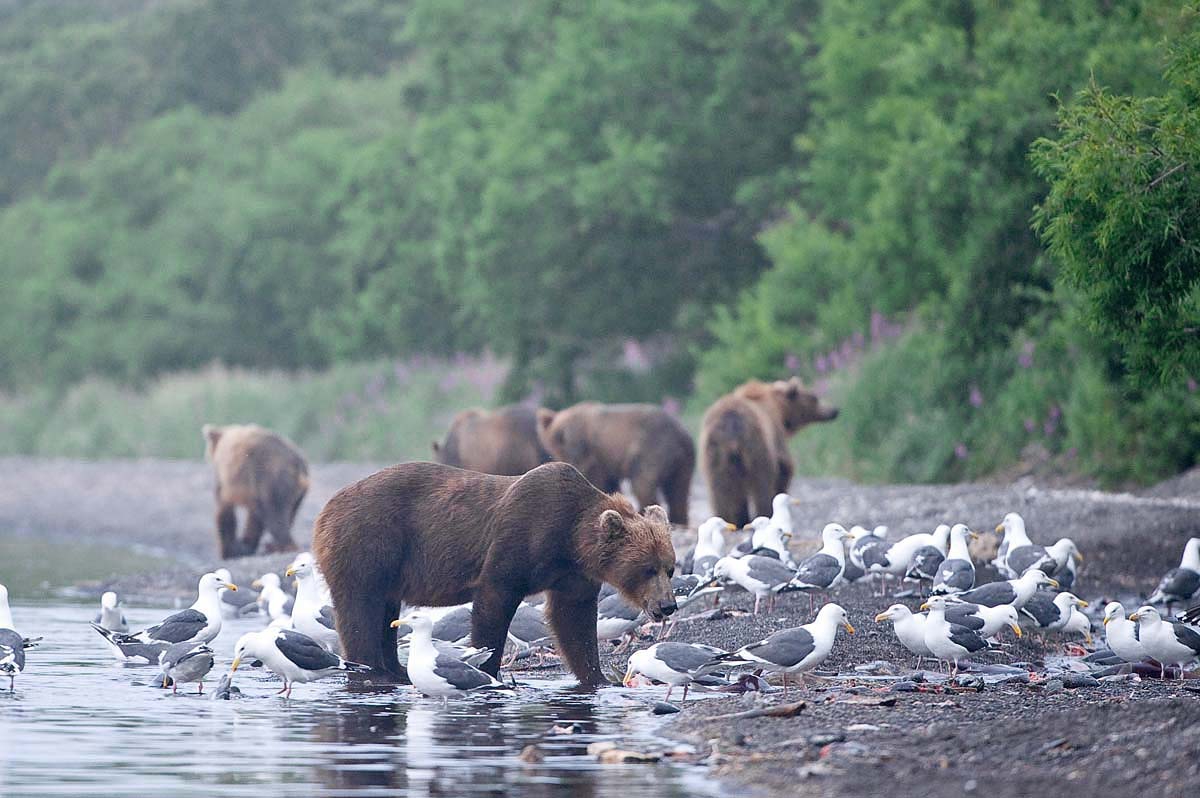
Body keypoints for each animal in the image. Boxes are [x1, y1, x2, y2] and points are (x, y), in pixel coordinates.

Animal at [201, 422, 307, 559]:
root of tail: (297, 464)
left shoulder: (227, 479)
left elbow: (225, 510)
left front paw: (229, 550)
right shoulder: (253, 488)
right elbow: (253, 517)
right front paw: (244, 546)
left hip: (272, 478)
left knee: (275, 515)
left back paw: (280, 546)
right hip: (296, 494)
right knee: (288, 514)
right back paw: (271, 546)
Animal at [314, 460, 681, 686]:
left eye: (670, 568)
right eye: (647, 569)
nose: (667, 605)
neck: (572, 540)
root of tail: (327, 507)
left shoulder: (573, 575)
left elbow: (573, 621)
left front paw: (597, 678)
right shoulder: (521, 535)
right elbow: (494, 601)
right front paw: (488, 670)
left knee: (384, 612)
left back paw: (396, 671)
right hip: (370, 541)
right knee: (360, 609)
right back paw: (372, 671)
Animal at [537, 400, 696, 525]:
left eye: (562, 436)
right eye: (556, 437)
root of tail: (681, 433)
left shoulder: (588, 451)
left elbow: (594, 478)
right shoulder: (606, 461)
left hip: (650, 449)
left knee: (643, 484)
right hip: (684, 461)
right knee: (678, 491)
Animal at [700, 379, 840, 528]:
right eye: (814, 398)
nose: (834, 411)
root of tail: (732, 423)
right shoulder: (776, 436)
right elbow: (784, 469)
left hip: (715, 452)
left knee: (719, 489)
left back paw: (727, 518)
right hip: (757, 447)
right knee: (762, 484)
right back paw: (763, 514)